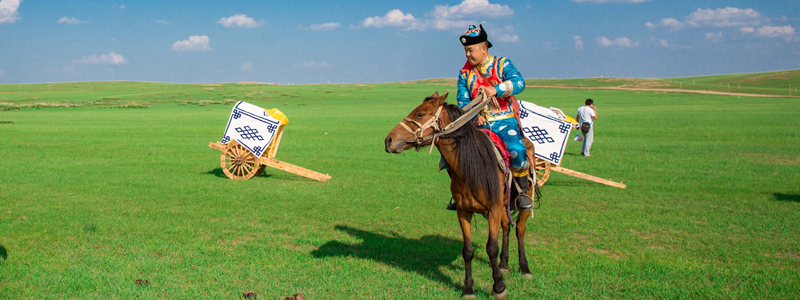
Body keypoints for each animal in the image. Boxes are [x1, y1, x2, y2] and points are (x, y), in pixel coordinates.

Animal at [384, 92, 536, 298]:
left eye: (421, 114)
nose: (389, 140)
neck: (471, 166)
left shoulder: (493, 209)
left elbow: (491, 247)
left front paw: (499, 287)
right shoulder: (464, 211)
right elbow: (468, 250)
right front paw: (468, 288)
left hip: (523, 198)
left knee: (520, 230)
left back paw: (524, 268)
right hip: (504, 204)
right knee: (506, 227)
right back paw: (504, 264)